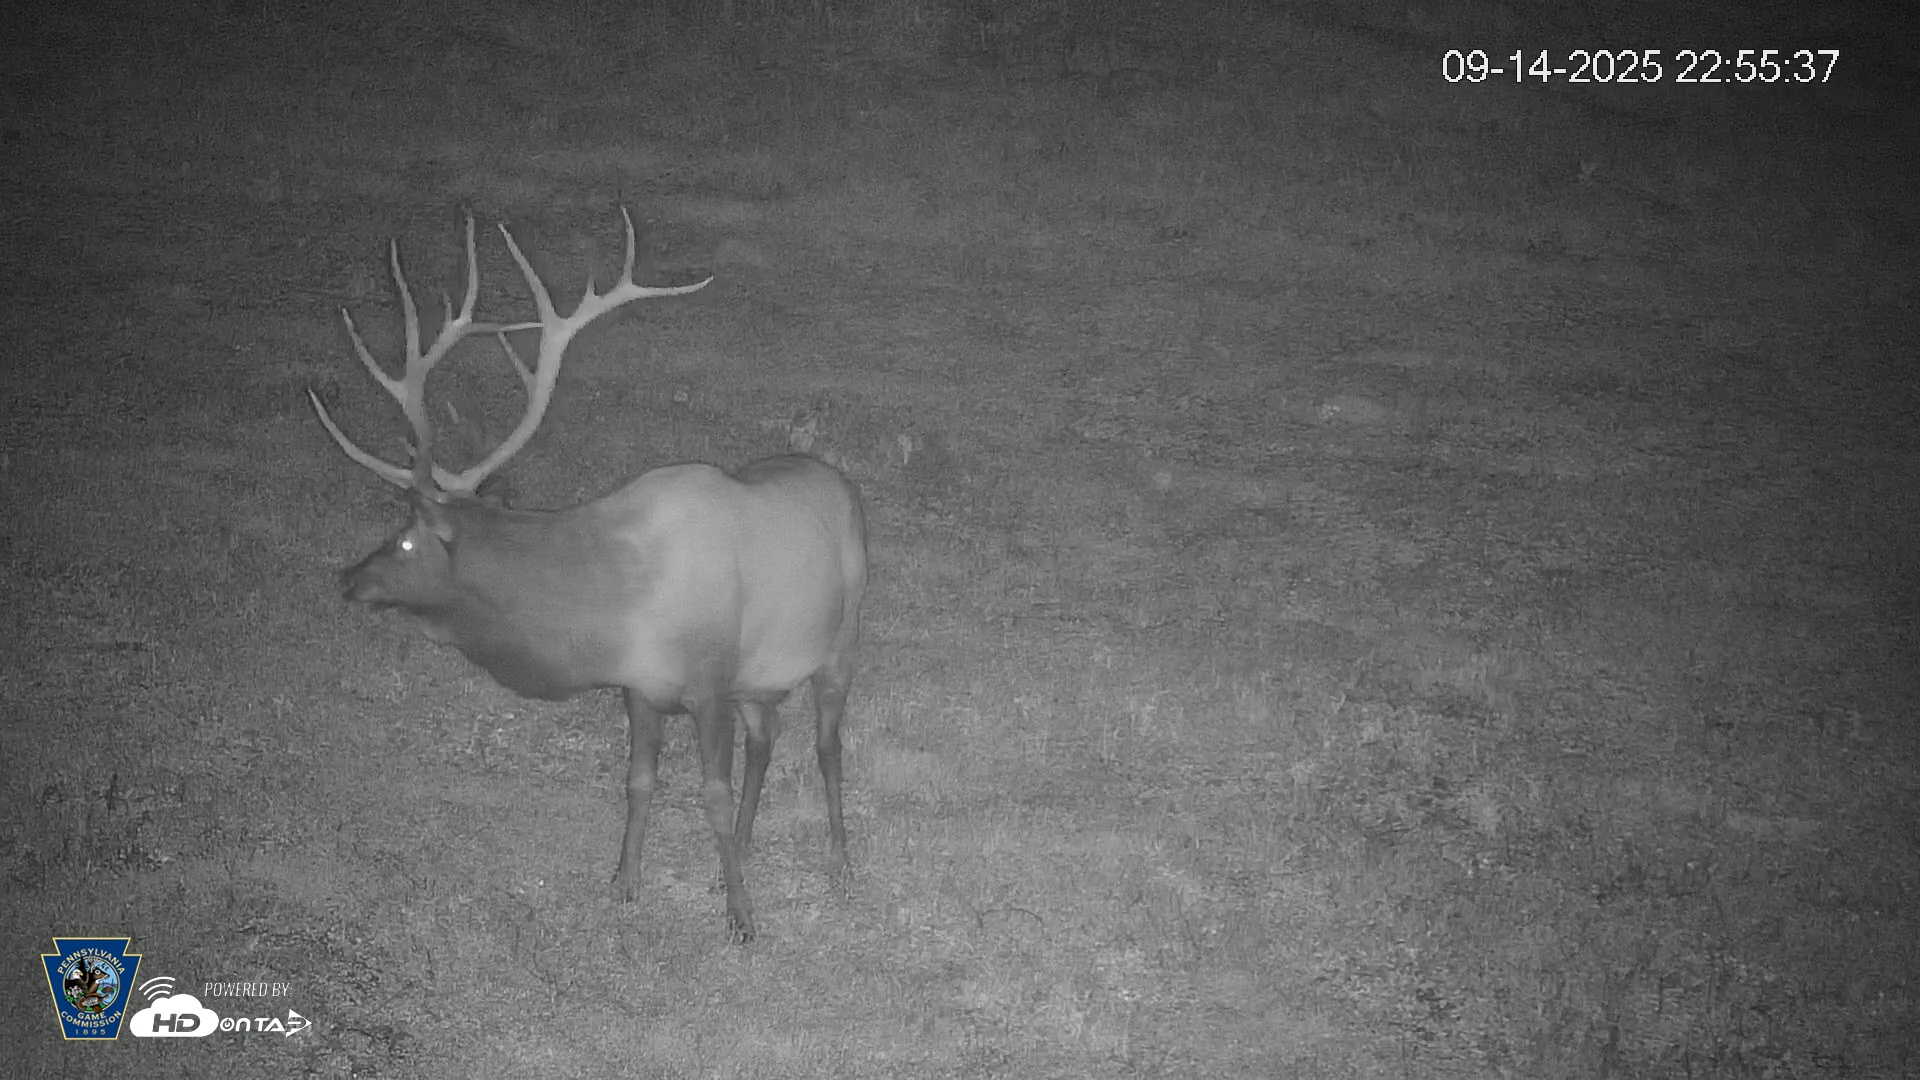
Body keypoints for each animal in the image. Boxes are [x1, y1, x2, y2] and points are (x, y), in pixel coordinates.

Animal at [308, 209, 867, 942]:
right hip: (760, 678)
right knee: (767, 739)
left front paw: (742, 916)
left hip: (838, 642)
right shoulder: (641, 687)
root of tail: (842, 483)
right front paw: (625, 883)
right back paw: (744, 851)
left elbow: (711, 795)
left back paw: (839, 861)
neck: (609, 609)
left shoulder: (709, 681)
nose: (349, 578)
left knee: (827, 746)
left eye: (403, 541)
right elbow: (639, 782)